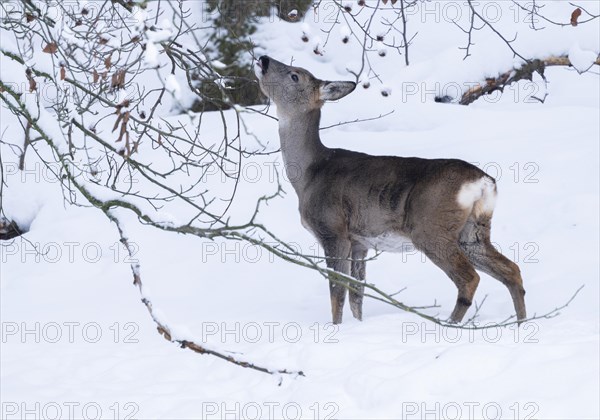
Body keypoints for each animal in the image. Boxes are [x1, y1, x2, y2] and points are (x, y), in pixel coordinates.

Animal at [255, 55, 528, 324]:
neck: (309, 174)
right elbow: (357, 295)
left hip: (431, 228)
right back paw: (521, 322)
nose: (263, 59)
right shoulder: (359, 241)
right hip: (473, 232)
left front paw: (336, 328)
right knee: (511, 269)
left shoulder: (333, 230)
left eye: (295, 75)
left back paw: (450, 322)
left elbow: (338, 292)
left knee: (469, 278)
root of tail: (484, 181)